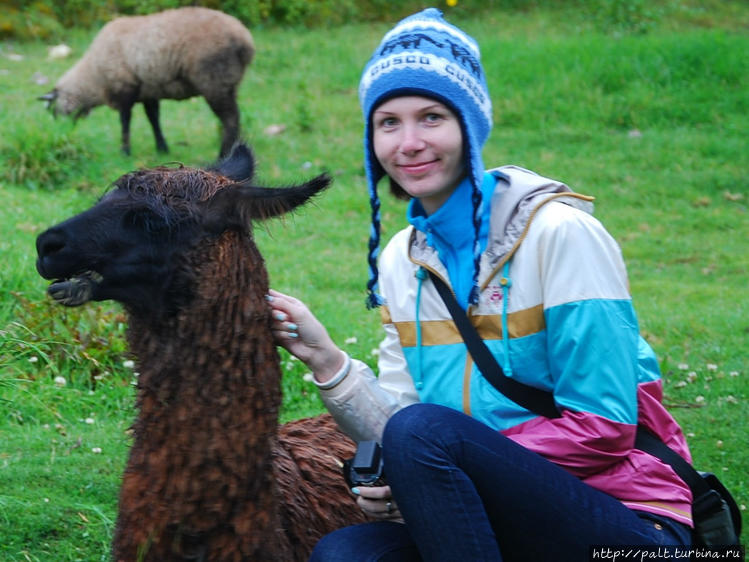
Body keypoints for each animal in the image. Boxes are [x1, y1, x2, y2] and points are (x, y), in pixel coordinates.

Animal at [39, 7, 256, 158]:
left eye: (53, 110)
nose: (62, 133)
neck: (94, 77)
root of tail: (245, 41)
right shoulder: (149, 91)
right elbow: (154, 119)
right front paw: (162, 148)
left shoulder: (125, 88)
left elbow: (125, 122)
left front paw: (125, 151)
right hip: (229, 83)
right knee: (232, 118)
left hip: (214, 81)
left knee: (231, 119)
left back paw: (223, 154)